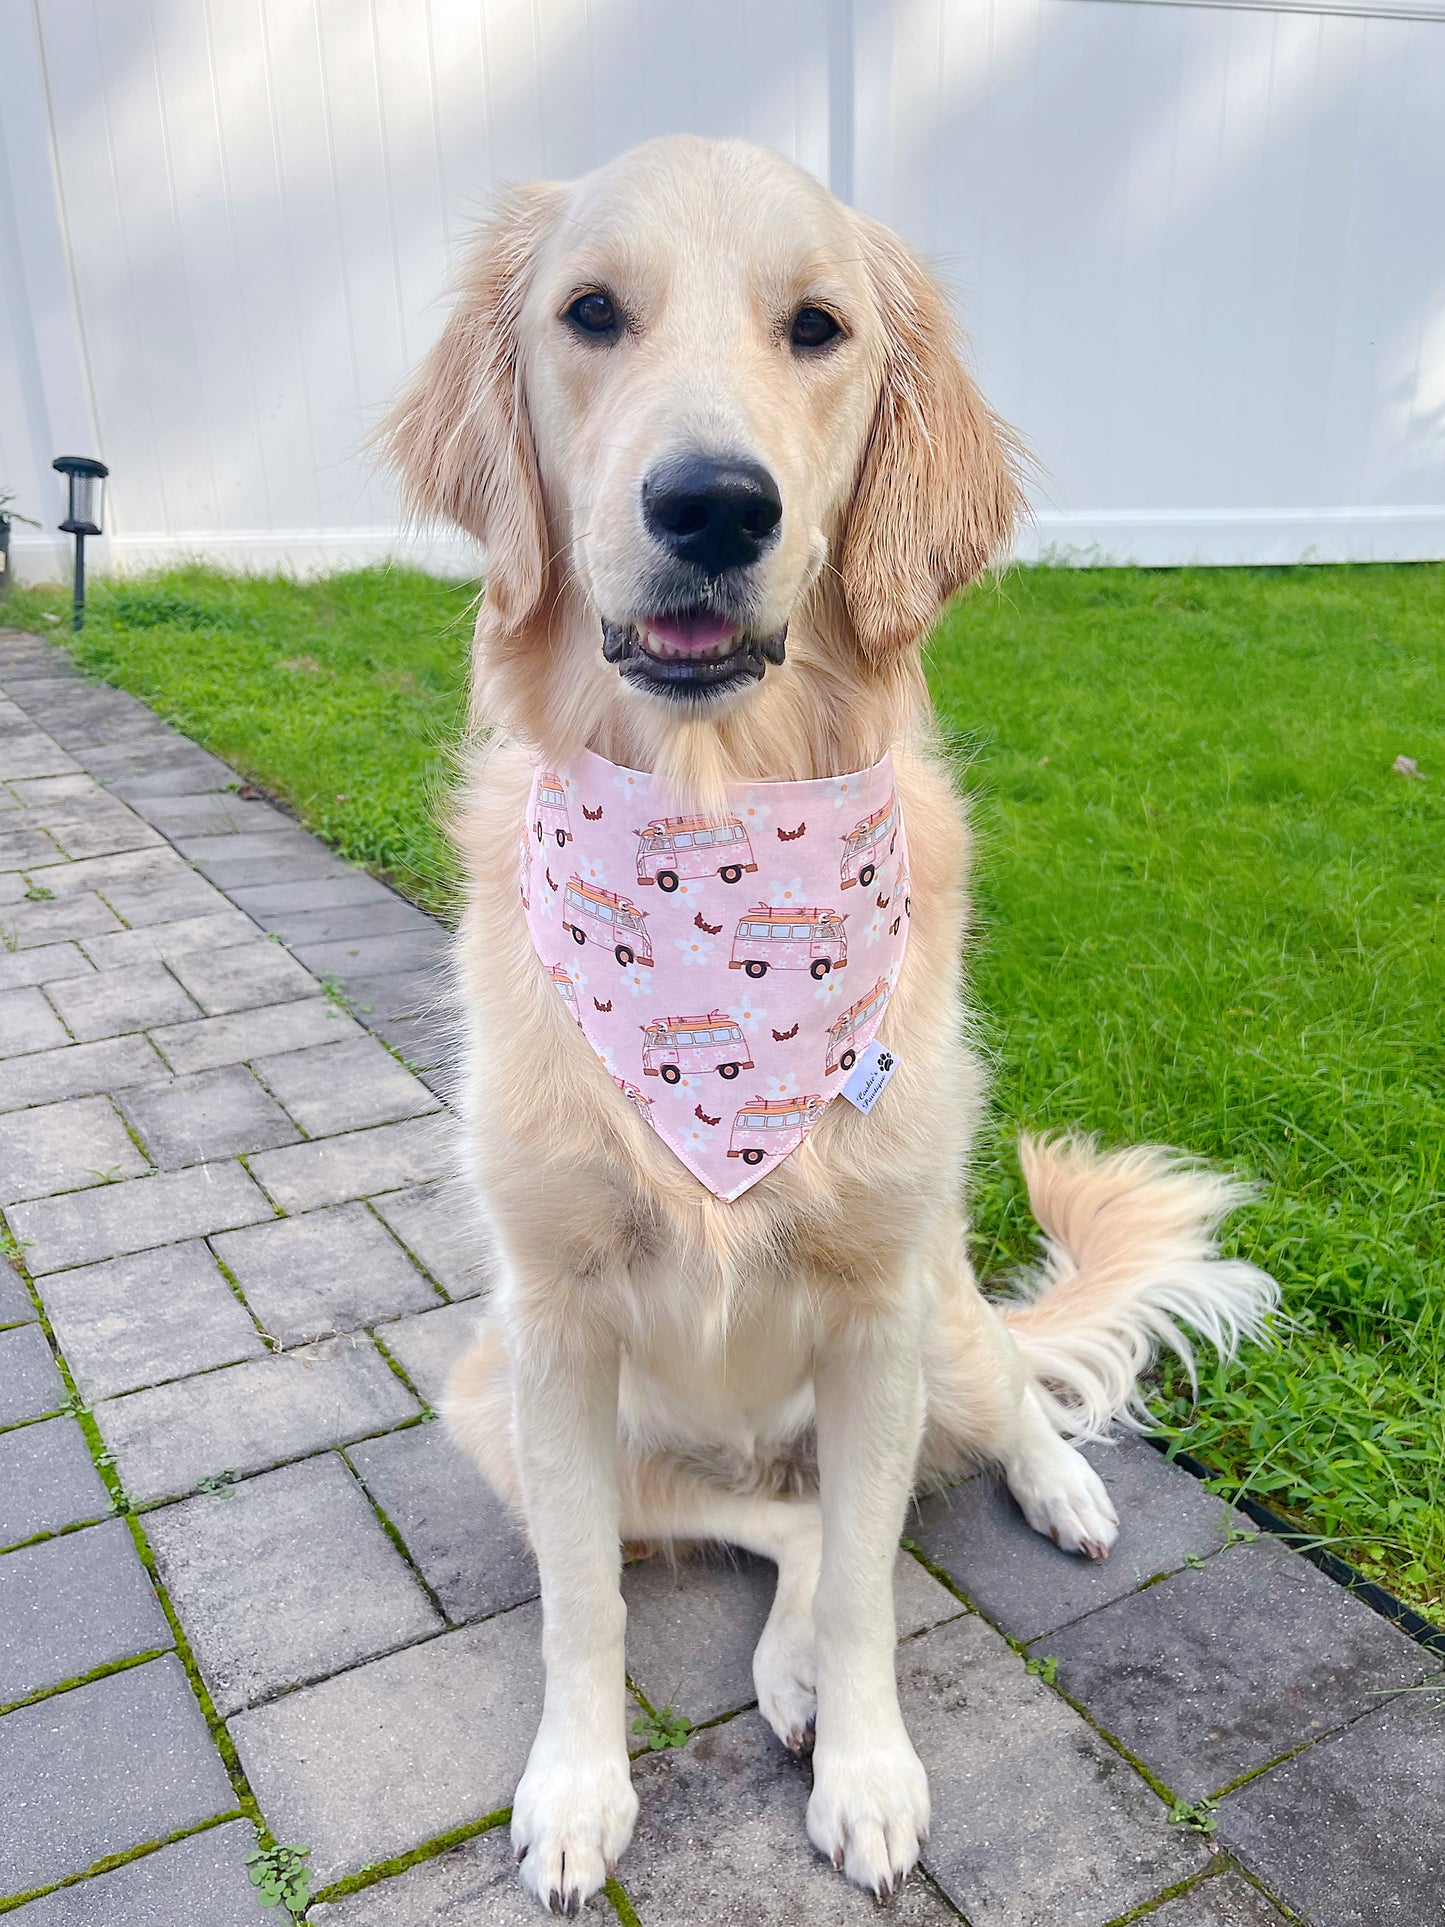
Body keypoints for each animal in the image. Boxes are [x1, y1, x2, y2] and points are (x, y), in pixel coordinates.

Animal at [385, 135, 1279, 1911]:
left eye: (817, 327)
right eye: (592, 312)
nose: (716, 504)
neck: (716, 823)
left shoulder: (873, 1316)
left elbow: (876, 1584)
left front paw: (867, 1772)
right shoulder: (555, 1331)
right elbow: (588, 1604)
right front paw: (577, 1787)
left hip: (934, 1309)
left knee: (1005, 1389)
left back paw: (1060, 1489)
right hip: (497, 1396)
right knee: (782, 1523)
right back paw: (782, 1655)